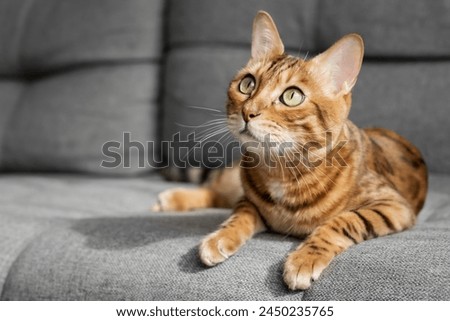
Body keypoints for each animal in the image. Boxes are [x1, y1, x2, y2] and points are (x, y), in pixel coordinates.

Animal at [153, 11, 428, 288]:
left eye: (292, 96)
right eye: (247, 84)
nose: (247, 112)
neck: (282, 170)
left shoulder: (393, 205)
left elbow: (343, 221)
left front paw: (306, 257)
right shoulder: (249, 200)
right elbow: (238, 214)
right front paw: (220, 237)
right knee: (217, 190)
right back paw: (172, 198)